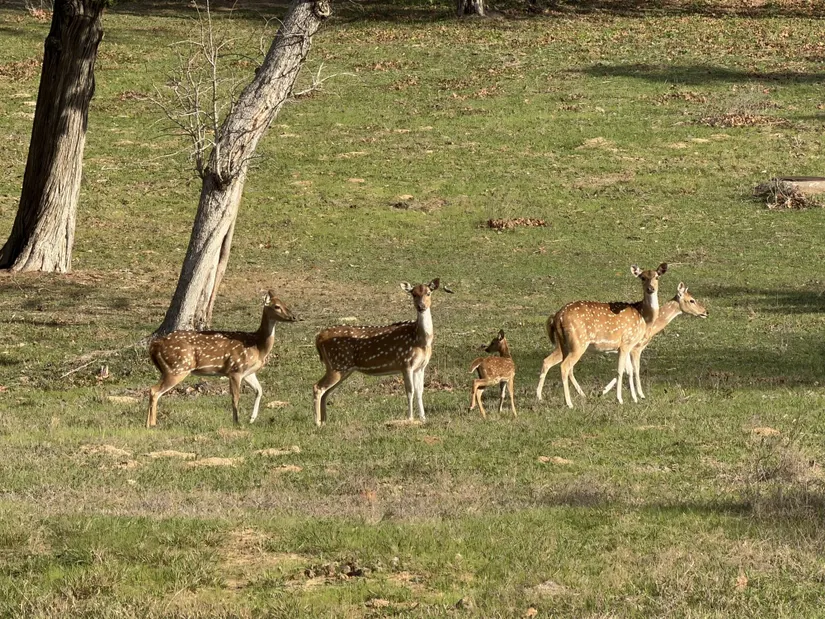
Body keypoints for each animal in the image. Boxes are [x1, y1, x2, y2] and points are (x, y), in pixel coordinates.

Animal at [146, 290, 297, 428]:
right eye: (277, 306)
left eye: (285, 303)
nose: (294, 317)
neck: (258, 346)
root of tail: (155, 345)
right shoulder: (235, 369)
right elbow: (235, 397)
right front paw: (237, 422)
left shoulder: (248, 372)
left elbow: (259, 390)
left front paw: (251, 419)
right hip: (178, 368)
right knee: (154, 391)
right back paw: (152, 424)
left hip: (170, 369)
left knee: (152, 390)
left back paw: (148, 423)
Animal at [313, 279, 451, 426]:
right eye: (413, 294)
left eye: (429, 293)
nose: (421, 306)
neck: (420, 340)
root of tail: (318, 337)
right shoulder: (405, 363)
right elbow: (410, 391)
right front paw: (410, 418)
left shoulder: (420, 367)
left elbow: (420, 391)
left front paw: (423, 419)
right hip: (338, 364)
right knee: (317, 387)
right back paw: (317, 423)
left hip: (341, 368)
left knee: (326, 391)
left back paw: (324, 421)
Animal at [535, 263, 668, 408]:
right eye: (642, 278)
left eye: (657, 277)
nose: (651, 288)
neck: (643, 316)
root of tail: (557, 316)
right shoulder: (626, 343)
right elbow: (622, 370)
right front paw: (621, 399)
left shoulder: (626, 346)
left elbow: (629, 370)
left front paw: (634, 398)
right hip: (578, 342)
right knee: (564, 366)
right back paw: (569, 403)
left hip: (564, 344)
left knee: (550, 362)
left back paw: (541, 397)